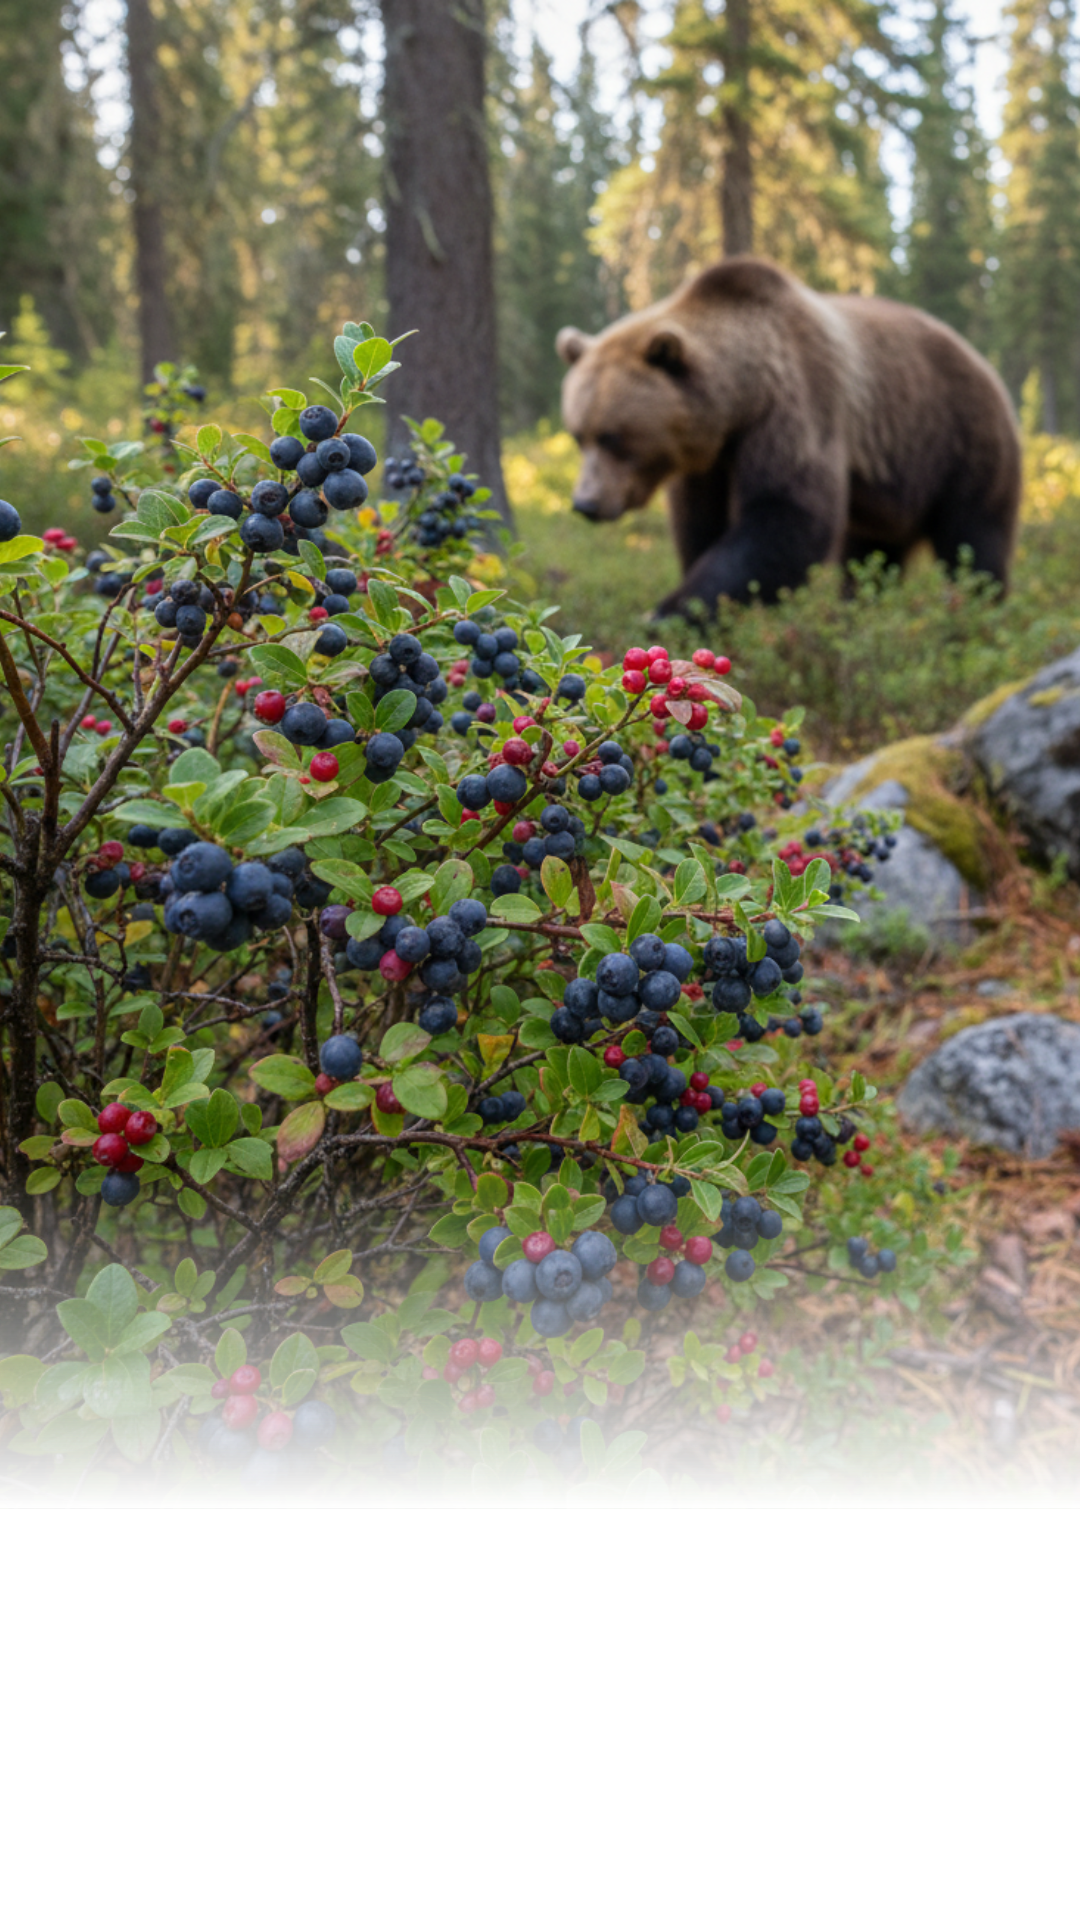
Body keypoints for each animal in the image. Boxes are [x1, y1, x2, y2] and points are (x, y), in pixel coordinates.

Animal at [556, 257, 1022, 619]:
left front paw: (673, 611)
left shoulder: (795, 406)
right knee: (871, 553)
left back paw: (979, 608)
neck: (739, 403)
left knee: (974, 536)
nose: (586, 504)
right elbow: (699, 522)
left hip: (959, 440)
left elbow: (786, 513)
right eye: (579, 435)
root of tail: (984, 364)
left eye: (612, 437)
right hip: (891, 485)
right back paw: (856, 608)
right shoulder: (708, 460)